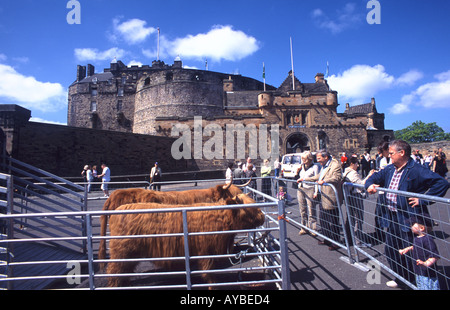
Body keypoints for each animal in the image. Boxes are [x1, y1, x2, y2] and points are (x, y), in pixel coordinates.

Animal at [105, 194, 264, 288]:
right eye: (250, 209)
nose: (263, 217)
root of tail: (118, 210)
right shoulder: (207, 253)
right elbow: (209, 274)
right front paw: (213, 286)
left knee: (124, 271)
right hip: (121, 253)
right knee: (114, 272)